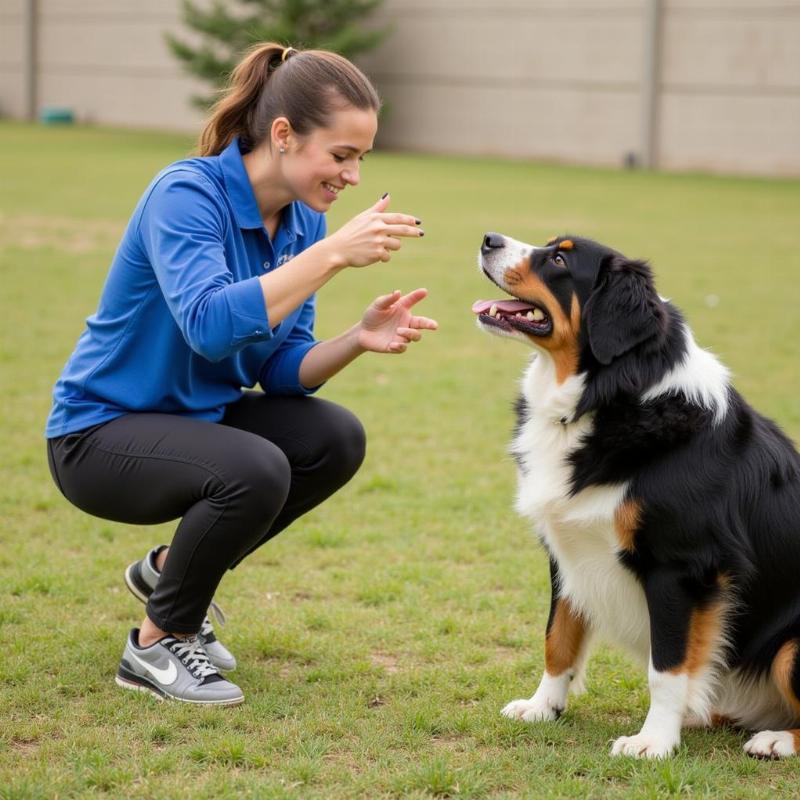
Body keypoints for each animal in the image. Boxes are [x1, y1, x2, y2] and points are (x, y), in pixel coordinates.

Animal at [472, 234, 800, 760]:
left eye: (559, 258)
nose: (489, 239)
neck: (611, 396)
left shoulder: (679, 566)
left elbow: (666, 667)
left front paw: (654, 741)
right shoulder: (567, 553)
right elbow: (558, 637)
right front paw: (543, 707)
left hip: (792, 646)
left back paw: (774, 738)